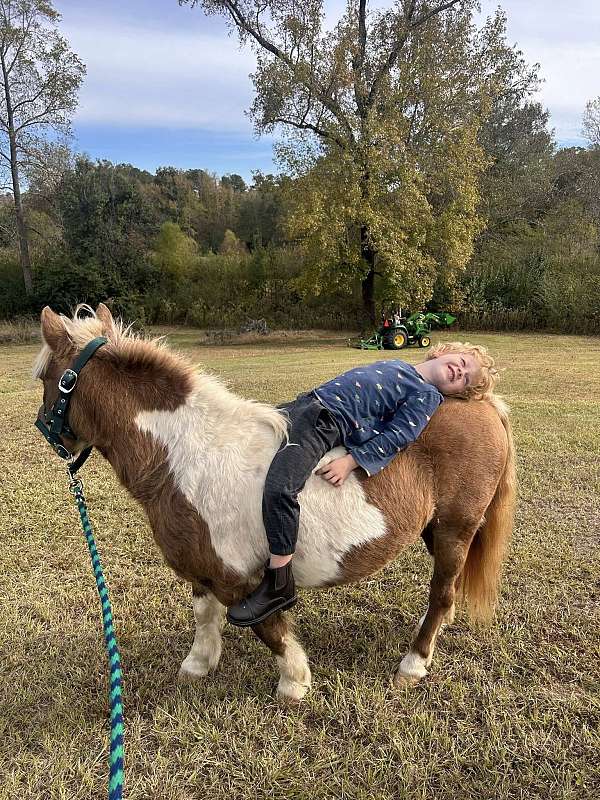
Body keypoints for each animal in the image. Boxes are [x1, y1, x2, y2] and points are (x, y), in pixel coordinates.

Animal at [34, 304, 516, 702]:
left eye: (45, 378)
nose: (47, 432)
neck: (188, 454)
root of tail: (484, 402)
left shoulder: (238, 580)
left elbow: (269, 629)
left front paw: (294, 682)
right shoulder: (201, 566)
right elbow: (203, 613)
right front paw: (198, 664)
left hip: (456, 526)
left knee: (441, 591)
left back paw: (414, 663)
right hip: (435, 529)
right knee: (446, 591)